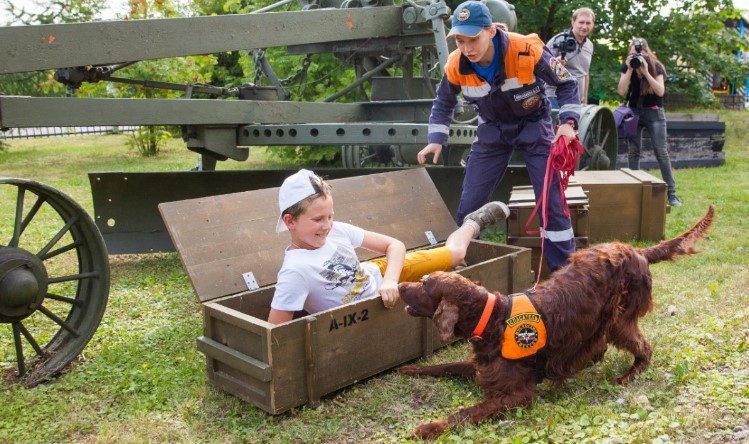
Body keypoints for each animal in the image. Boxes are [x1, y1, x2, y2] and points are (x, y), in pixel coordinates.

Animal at [398, 206, 712, 440]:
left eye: (423, 283)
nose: (400, 285)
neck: (491, 318)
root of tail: (638, 252)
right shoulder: (481, 367)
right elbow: (445, 366)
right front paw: (412, 369)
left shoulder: (518, 394)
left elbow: (465, 413)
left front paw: (427, 428)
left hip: (619, 320)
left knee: (643, 348)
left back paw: (627, 376)